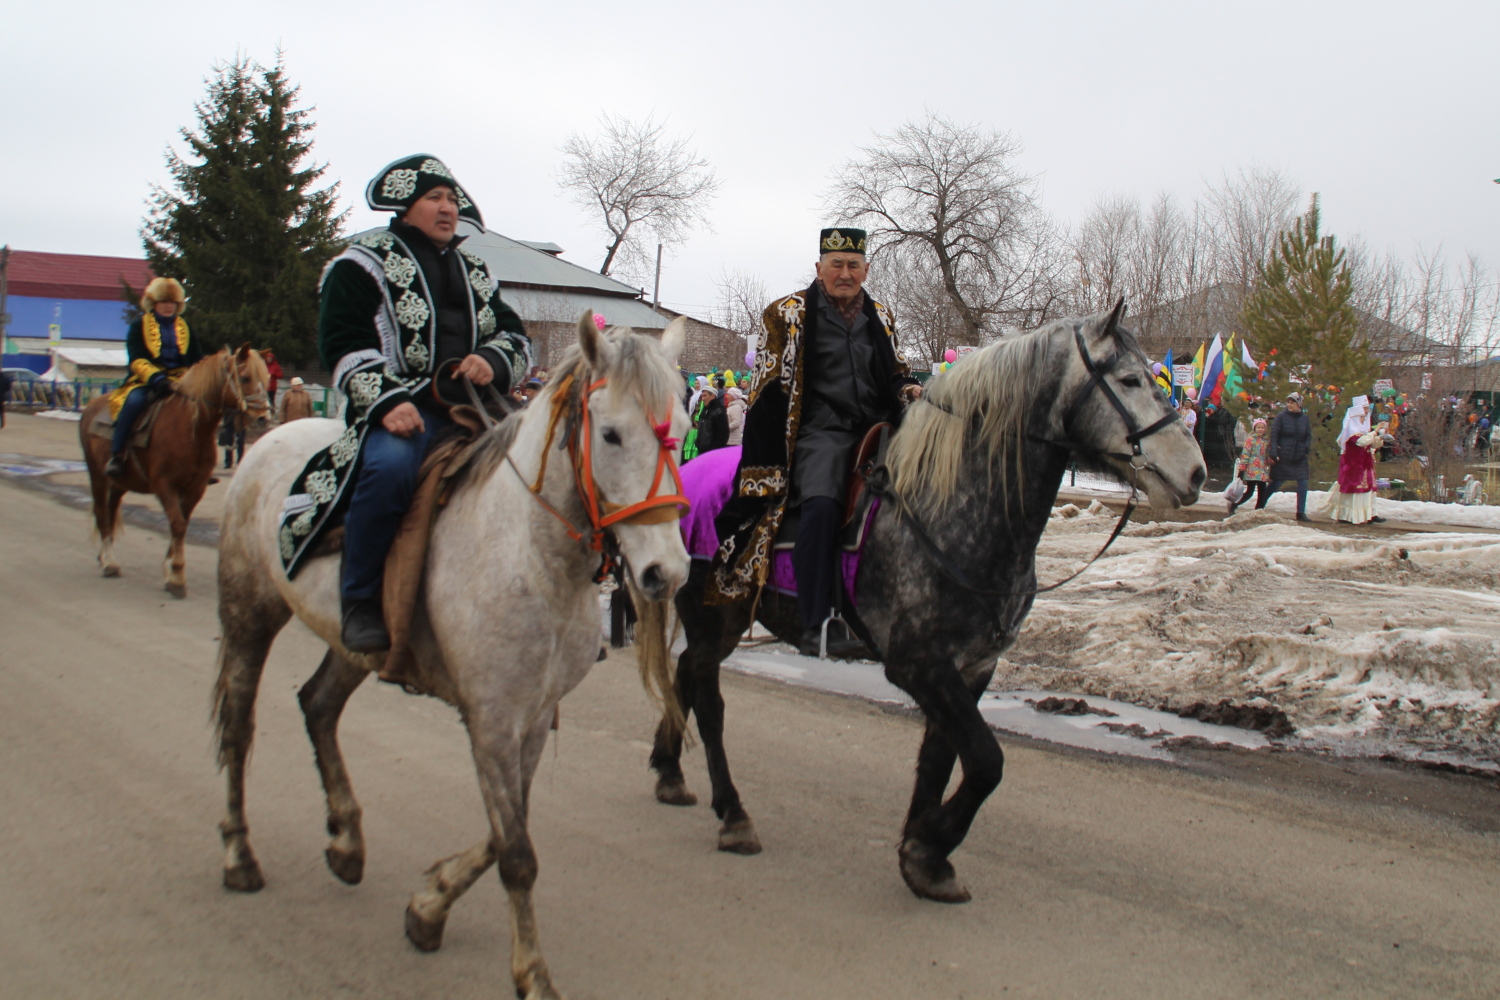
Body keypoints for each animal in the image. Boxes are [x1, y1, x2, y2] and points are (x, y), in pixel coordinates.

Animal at [81, 344, 273, 593]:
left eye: (267, 378)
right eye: (246, 377)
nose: (264, 417)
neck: (191, 430)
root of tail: (91, 407)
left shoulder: (195, 488)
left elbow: (181, 524)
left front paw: (170, 570)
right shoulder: (165, 486)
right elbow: (178, 525)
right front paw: (177, 577)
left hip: (120, 482)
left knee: (112, 511)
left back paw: (106, 557)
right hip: (97, 476)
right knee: (102, 514)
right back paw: (109, 563)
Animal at [211, 314, 690, 1000]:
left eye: (681, 427)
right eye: (611, 434)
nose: (665, 573)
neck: (529, 555)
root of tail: (271, 435)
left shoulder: (532, 719)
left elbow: (506, 830)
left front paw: (428, 905)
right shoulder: (490, 720)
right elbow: (515, 852)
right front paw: (532, 973)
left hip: (355, 649)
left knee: (318, 706)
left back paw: (346, 842)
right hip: (248, 613)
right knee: (239, 727)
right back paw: (240, 855)